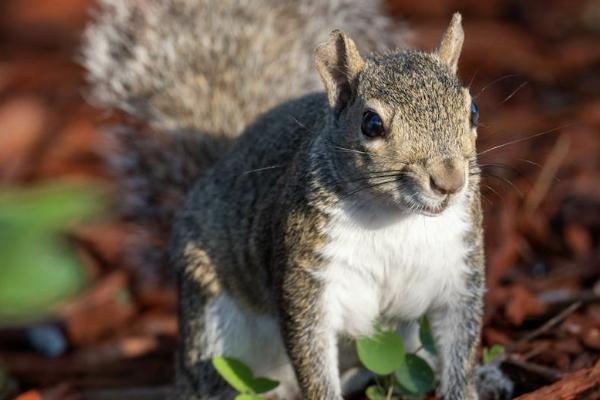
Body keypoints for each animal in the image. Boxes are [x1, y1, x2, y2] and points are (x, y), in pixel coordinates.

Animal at [82, 0, 510, 400]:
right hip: (213, 325)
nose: (449, 181)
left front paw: (469, 384)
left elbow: (459, 349)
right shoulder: (308, 277)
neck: (395, 217)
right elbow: (312, 353)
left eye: (473, 110)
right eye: (371, 123)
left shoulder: (458, 271)